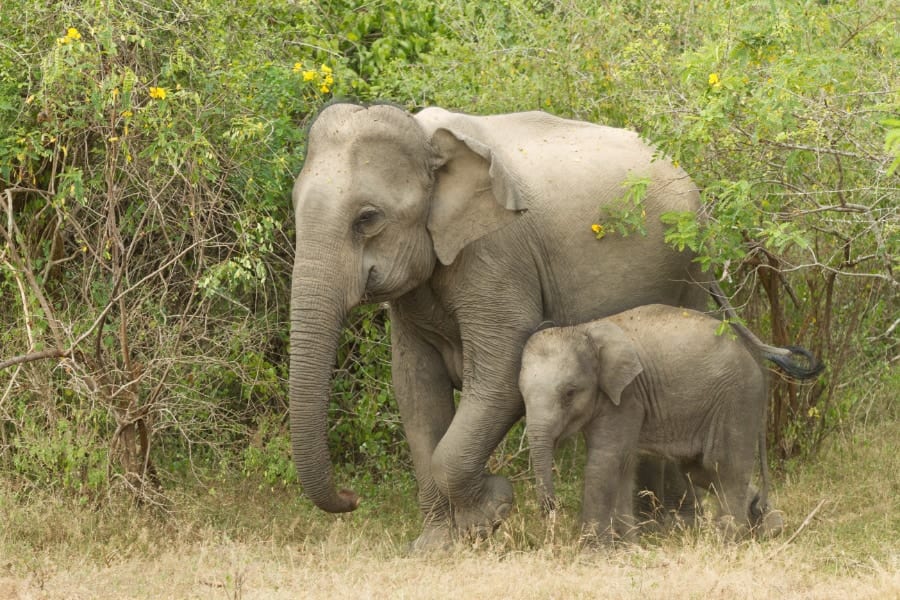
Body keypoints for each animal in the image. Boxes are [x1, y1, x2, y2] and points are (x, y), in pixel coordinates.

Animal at [292, 102, 712, 548]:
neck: (429, 139)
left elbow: (501, 375)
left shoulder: (496, 254)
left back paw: (670, 527)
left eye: (368, 218)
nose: (351, 497)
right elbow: (415, 390)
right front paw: (436, 545)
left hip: (691, 268)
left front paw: (489, 514)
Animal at [516, 304, 820, 544]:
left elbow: (605, 462)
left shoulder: (627, 396)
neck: (583, 330)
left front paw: (593, 554)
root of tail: (755, 357)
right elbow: (622, 465)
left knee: (724, 465)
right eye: (521, 394)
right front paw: (626, 548)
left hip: (738, 398)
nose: (551, 508)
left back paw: (726, 540)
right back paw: (767, 526)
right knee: (700, 470)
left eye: (569, 393)